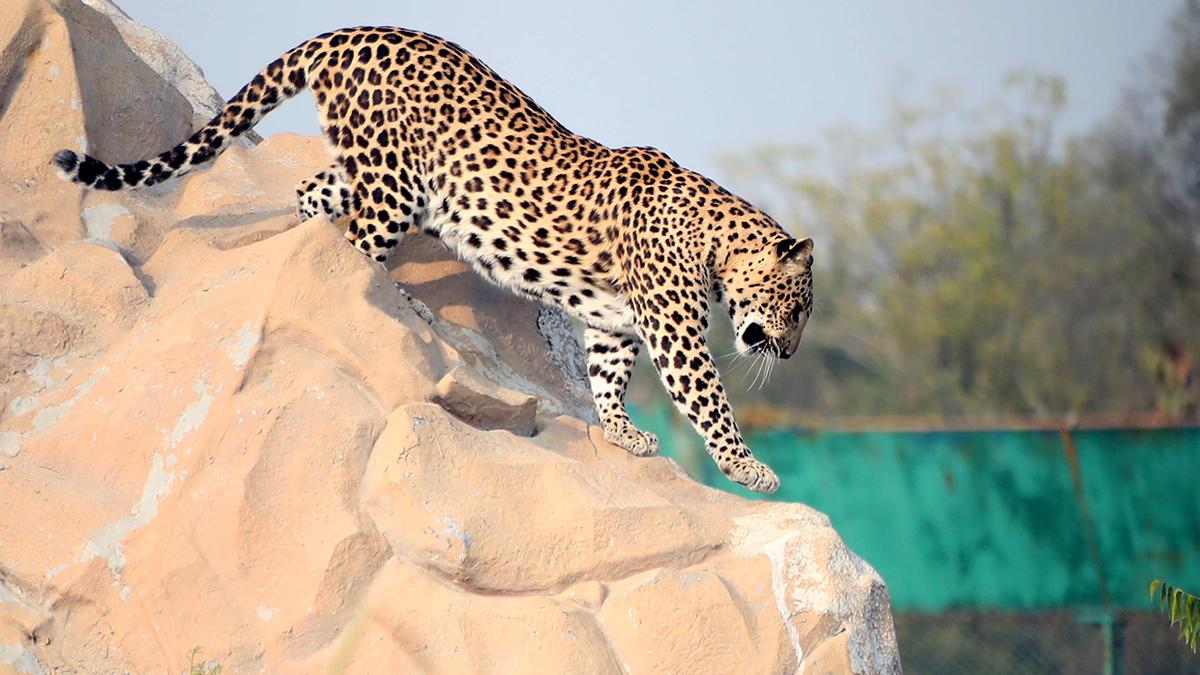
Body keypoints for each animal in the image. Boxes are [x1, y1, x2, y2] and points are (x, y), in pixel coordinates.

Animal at [52, 26, 814, 493]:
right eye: (797, 308)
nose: (793, 353)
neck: (717, 241)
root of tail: (350, 32)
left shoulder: (616, 321)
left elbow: (607, 377)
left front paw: (625, 433)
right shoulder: (676, 334)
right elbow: (709, 400)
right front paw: (753, 471)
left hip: (380, 176)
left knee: (313, 196)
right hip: (394, 186)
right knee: (356, 245)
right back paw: (402, 300)